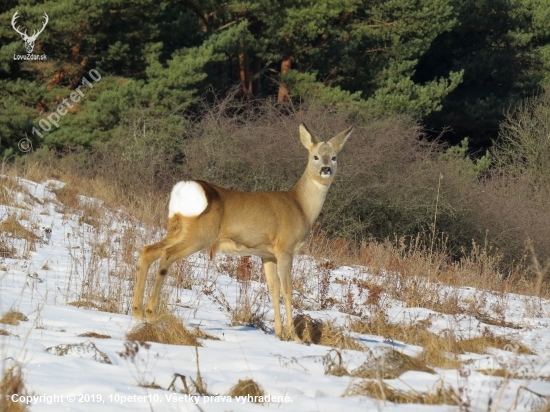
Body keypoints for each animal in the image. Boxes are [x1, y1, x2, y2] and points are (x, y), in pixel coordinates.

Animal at [133, 123, 354, 342]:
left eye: (334, 157)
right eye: (315, 156)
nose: (326, 169)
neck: (301, 206)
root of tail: (185, 188)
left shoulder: (267, 254)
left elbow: (273, 289)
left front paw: (279, 332)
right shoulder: (285, 248)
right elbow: (288, 289)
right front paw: (295, 337)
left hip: (177, 229)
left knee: (148, 250)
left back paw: (137, 312)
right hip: (200, 234)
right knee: (166, 255)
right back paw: (151, 314)